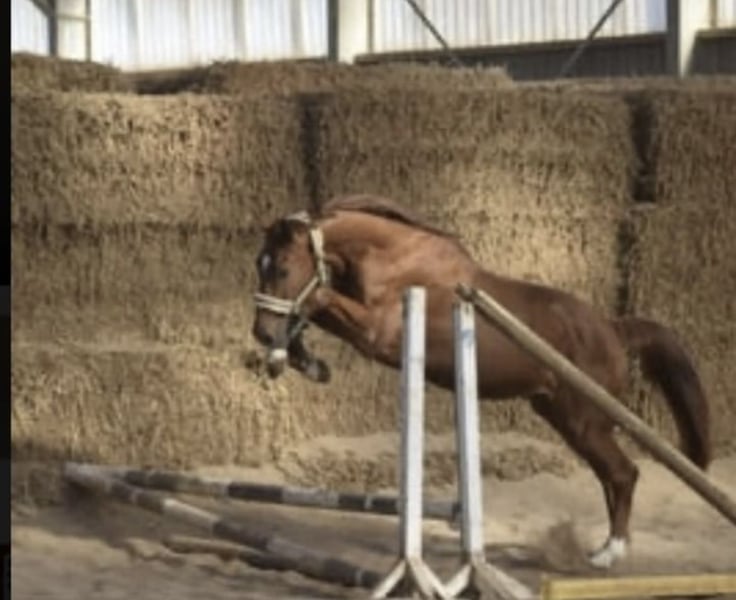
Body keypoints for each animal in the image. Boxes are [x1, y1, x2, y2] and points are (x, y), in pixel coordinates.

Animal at [251, 193, 711, 569]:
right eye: (260, 265)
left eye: (284, 268)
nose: (261, 333)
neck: (391, 257)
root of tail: (614, 328)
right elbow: (315, 306)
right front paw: (293, 358)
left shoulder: (377, 332)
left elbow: (317, 299)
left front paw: (291, 354)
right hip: (563, 415)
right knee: (610, 476)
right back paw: (601, 549)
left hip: (585, 420)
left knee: (623, 474)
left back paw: (608, 554)